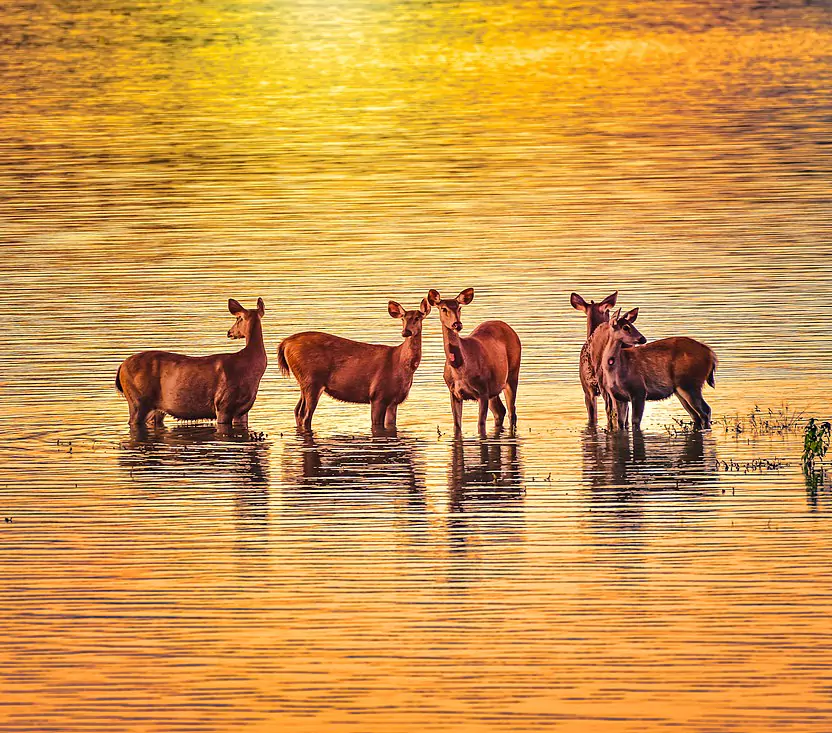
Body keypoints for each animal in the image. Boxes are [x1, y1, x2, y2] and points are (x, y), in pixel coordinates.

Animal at [115, 298, 266, 432]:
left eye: (238, 318)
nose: (229, 332)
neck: (249, 367)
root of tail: (120, 368)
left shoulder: (242, 411)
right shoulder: (223, 405)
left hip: (154, 409)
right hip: (137, 401)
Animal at [280, 298, 432, 432]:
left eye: (417, 318)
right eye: (403, 318)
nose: (406, 332)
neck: (402, 365)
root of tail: (285, 343)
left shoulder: (393, 400)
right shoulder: (377, 395)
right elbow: (376, 425)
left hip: (304, 382)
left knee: (297, 411)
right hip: (312, 380)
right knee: (305, 415)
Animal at [428, 286, 520, 434]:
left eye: (459, 307)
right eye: (443, 308)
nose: (457, 324)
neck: (459, 369)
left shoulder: (482, 391)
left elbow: (480, 425)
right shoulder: (453, 392)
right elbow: (457, 425)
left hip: (512, 374)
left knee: (512, 412)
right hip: (494, 387)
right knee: (500, 411)